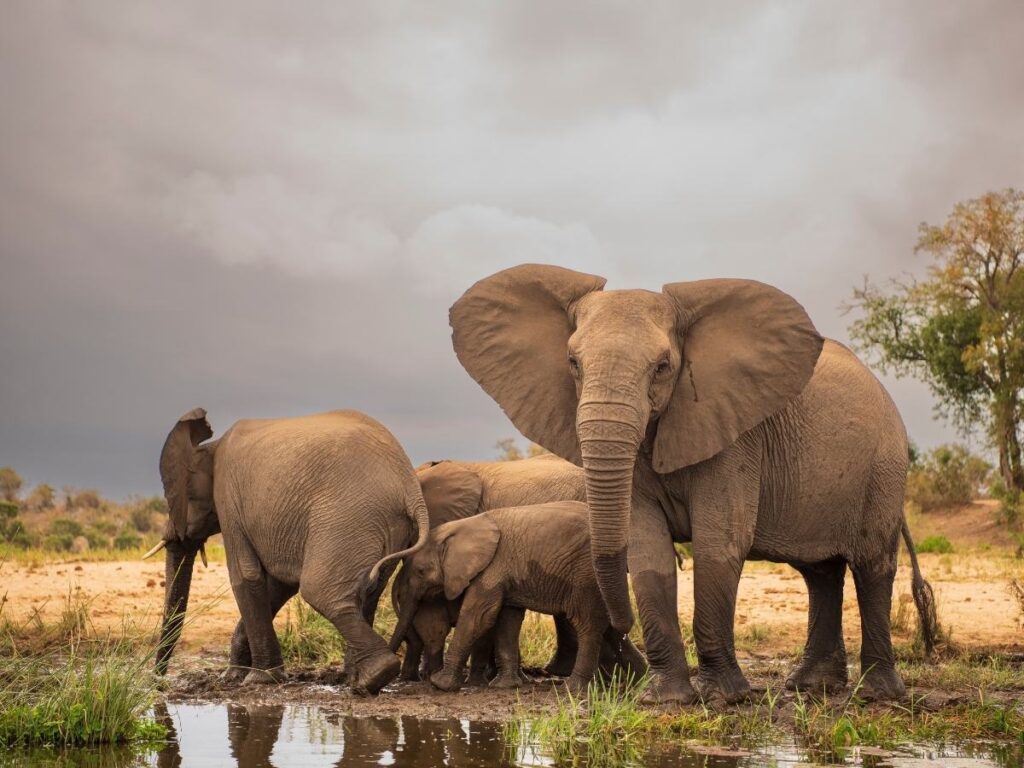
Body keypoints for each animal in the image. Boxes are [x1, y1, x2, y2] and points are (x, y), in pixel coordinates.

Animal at [148, 408, 429, 695]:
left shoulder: (229, 501)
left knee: (320, 591)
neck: (209, 447)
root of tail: (410, 488)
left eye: (171, 499)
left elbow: (245, 577)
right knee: (367, 591)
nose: (158, 682)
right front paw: (234, 676)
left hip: (347, 518)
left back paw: (375, 676)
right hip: (386, 526)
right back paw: (355, 680)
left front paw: (258, 679)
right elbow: (278, 585)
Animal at [391, 501, 643, 694]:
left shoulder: (492, 568)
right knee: (609, 627)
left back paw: (572, 689)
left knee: (587, 625)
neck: (463, 526)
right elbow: (507, 620)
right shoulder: (504, 574)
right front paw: (504, 686)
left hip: (586, 576)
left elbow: (478, 617)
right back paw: (641, 680)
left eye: (420, 571)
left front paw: (440, 684)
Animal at [448, 264, 936, 704]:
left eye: (663, 367)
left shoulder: (736, 436)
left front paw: (723, 698)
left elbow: (720, 543)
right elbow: (648, 549)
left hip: (884, 466)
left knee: (871, 565)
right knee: (821, 572)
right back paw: (810, 687)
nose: (620, 632)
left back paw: (876, 695)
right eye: (573, 364)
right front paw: (664, 699)